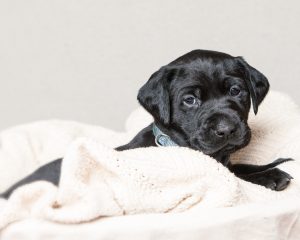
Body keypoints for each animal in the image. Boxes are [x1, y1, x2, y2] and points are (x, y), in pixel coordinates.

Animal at [0, 49, 292, 199]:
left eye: (235, 91)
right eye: (189, 100)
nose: (226, 129)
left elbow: (240, 166)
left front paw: (273, 167)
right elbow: (236, 176)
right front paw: (269, 176)